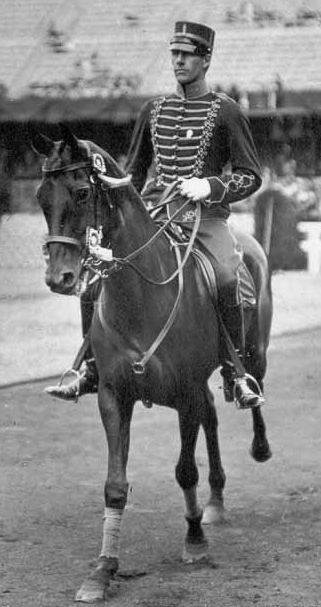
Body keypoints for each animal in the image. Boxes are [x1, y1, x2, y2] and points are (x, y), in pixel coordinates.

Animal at [31, 127, 272, 604]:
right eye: (40, 196)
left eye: (82, 192)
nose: (59, 278)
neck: (141, 295)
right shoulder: (113, 396)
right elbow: (115, 485)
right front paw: (103, 569)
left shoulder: (185, 392)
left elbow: (184, 470)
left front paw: (194, 541)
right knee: (213, 417)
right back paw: (215, 501)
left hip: (254, 352)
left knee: (250, 389)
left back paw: (257, 441)